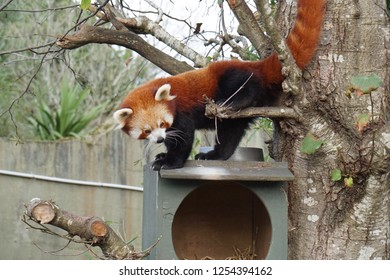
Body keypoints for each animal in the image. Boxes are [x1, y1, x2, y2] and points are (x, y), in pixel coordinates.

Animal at [112, 0, 326, 171]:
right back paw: (216, 154)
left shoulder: (181, 112)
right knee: (230, 134)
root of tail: (255, 64)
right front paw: (164, 154)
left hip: (230, 75)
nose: (159, 139)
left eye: (161, 124)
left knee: (243, 86)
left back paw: (233, 101)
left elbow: (183, 137)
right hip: (235, 117)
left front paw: (170, 161)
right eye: (146, 131)